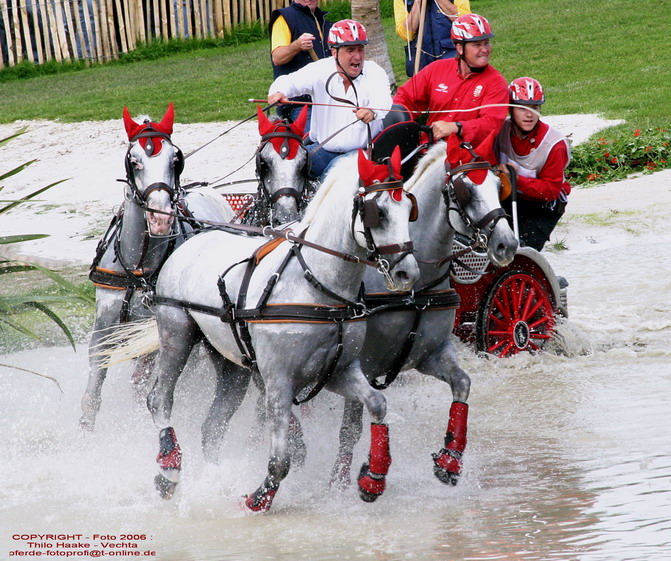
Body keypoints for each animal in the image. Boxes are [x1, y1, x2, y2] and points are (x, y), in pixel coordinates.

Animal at [79, 104, 234, 428]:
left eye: (175, 159)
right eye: (133, 161)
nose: (160, 217)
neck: (139, 268)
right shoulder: (106, 321)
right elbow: (95, 382)